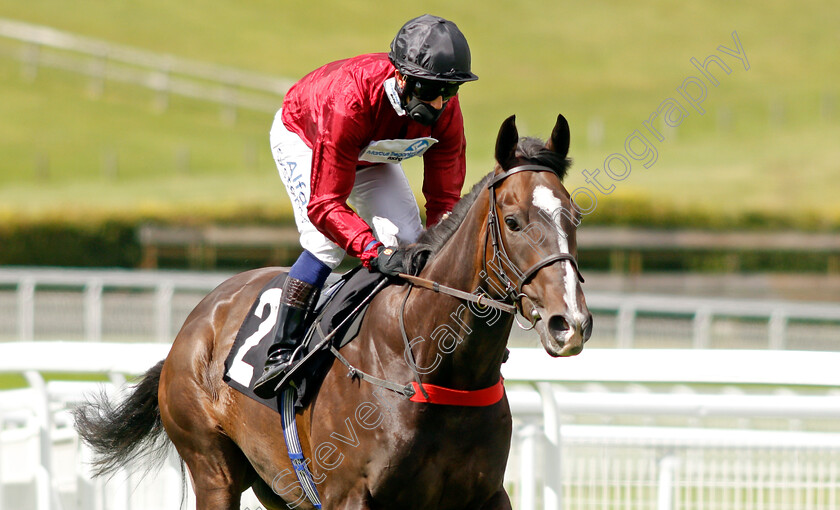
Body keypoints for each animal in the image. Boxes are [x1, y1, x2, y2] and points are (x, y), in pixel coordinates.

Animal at [75, 113, 592, 508]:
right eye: (514, 221)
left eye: (574, 216)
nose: (569, 324)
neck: (434, 363)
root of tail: (196, 321)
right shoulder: (349, 496)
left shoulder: (485, 494)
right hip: (213, 469)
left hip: (278, 488)